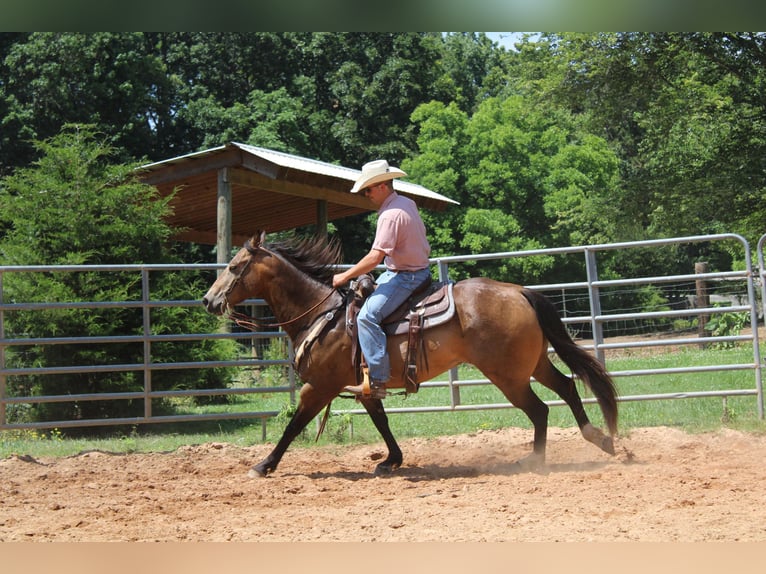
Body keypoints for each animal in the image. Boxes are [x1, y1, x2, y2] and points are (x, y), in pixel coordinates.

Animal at [202, 232, 616, 480]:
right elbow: (382, 422)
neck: (325, 315)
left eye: (234, 267)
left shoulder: (319, 387)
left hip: (508, 375)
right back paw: (600, 439)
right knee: (566, 388)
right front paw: (391, 460)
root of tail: (518, 291)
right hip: (532, 364)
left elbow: (292, 426)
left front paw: (263, 465)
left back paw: (537, 461)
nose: (209, 300)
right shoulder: (366, 385)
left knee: (540, 409)